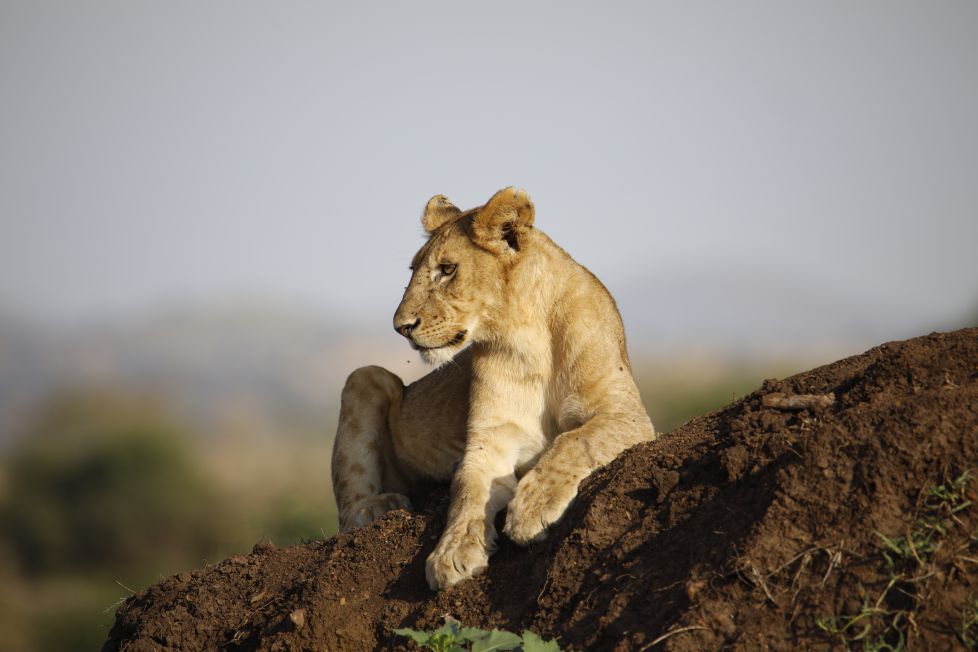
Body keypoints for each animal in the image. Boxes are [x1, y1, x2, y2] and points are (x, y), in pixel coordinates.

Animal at [330, 187, 655, 590]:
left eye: (447, 270)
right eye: (413, 271)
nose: (400, 326)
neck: (527, 335)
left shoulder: (624, 412)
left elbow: (575, 441)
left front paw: (532, 507)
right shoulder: (489, 441)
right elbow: (468, 490)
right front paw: (454, 549)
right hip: (366, 376)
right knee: (346, 514)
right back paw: (379, 505)